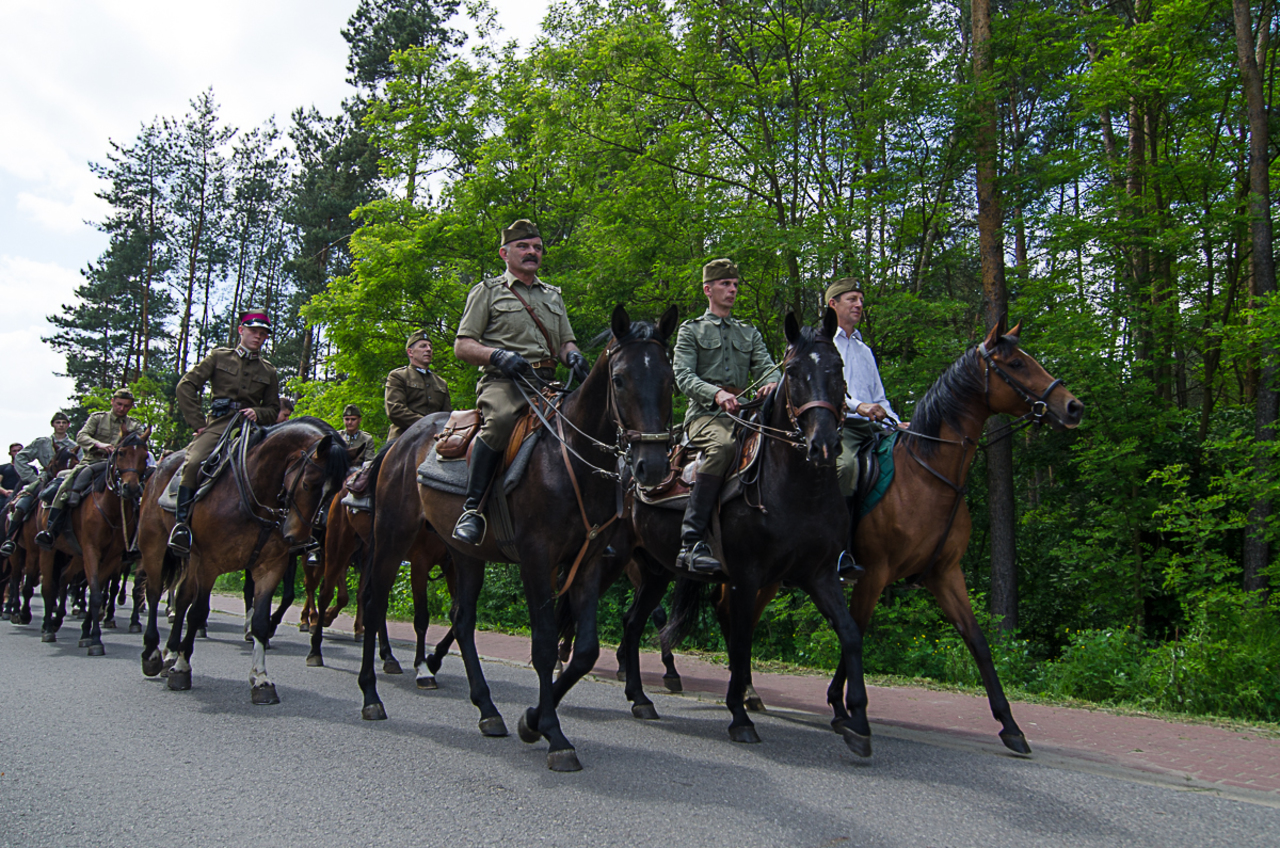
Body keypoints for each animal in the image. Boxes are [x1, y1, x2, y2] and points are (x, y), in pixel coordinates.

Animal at [38, 432, 149, 655]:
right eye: (121, 453)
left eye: (144, 455)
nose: (131, 488)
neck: (111, 510)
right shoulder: (92, 551)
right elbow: (96, 593)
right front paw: (96, 640)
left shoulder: (112, 557)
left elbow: (98, 593)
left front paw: (87, 634)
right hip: (50, 550)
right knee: (47, 587)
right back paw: (47, 628)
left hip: (77, 555)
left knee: (64, 577)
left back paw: (57, 620)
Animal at [358, 308, 680, 773]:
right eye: (619, 380)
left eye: (670, 379)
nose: (651, 467)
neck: (569, 459)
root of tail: (403, 439)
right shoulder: (536, 560)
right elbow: (544, 645)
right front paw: (553, 733)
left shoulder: (589, 562)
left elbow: (585, 650)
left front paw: (531, 720)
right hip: (392, 537)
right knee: (374, 602)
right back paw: (371, 694)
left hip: (465, 555)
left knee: (462, 620)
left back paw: (487, 709)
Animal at [829, 320, 1080, 758]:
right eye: (1017, 363)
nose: (1072, 406)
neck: (928, 477)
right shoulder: (874, 573)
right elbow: (855, 632)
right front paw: (847, 710)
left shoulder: (945, 574)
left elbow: (977, 641)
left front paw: (1011, 726)